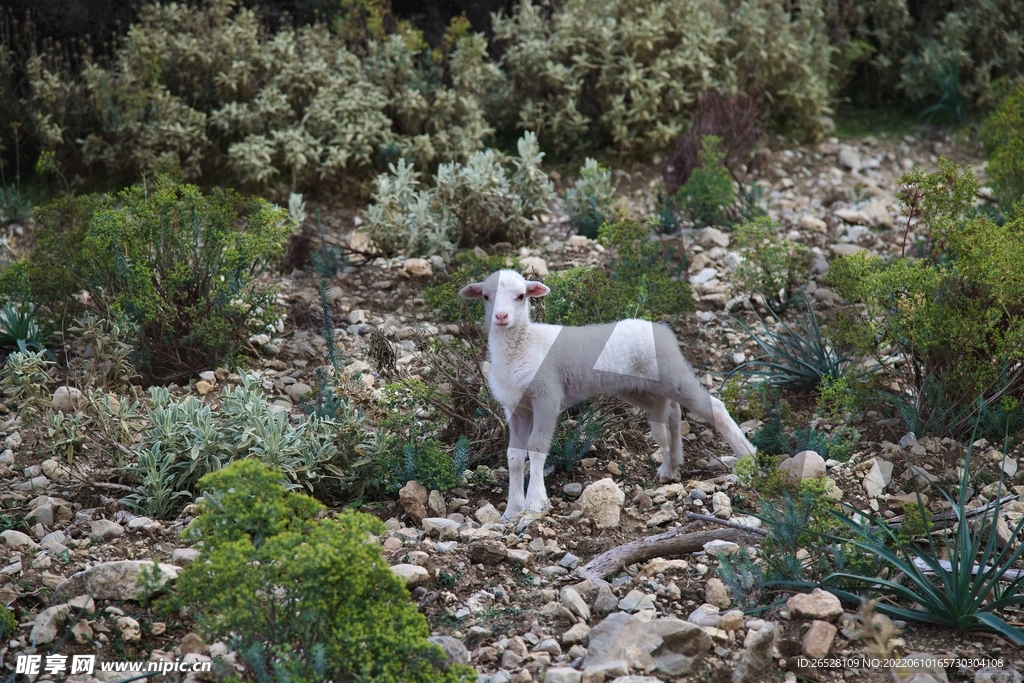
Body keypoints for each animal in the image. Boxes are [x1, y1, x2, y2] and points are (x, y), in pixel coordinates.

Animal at [460, 270, 757, 520]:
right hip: (639, 387)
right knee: (671, 412)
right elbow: (513, 455)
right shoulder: (516, 408)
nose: (501, 317)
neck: (523, 344)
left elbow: (536, 447)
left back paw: (747, 456)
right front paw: (512, 509)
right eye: (486, 296)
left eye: (521, 296)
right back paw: (671, 466)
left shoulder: (547, 398)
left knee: (714, 406)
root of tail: (662, 329)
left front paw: (535, 502)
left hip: (672, 374)